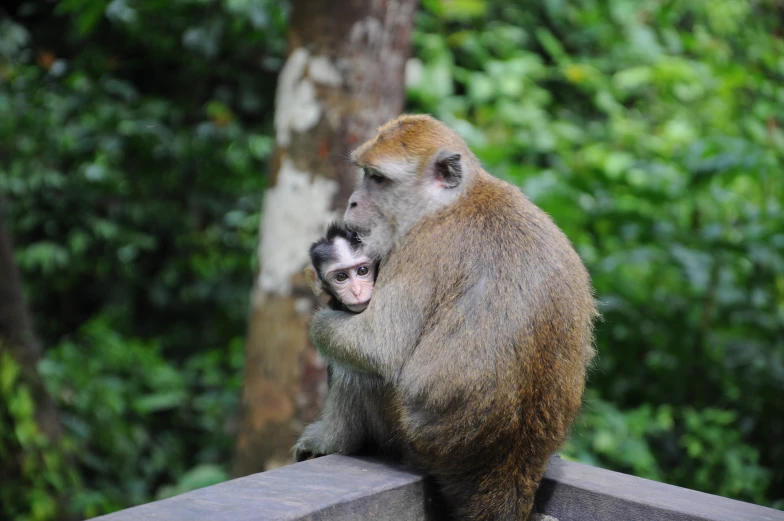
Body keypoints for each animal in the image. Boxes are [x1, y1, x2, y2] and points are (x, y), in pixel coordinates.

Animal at [294, 115, 596, 520]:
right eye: (364, 173)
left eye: (377, 178)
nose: (353, 201)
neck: (454, 201)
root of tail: (508, 470)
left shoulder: (420, 248)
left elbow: (377, 348)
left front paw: (322, 320)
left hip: (412, 437)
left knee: (361, 371)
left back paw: (333, 439)